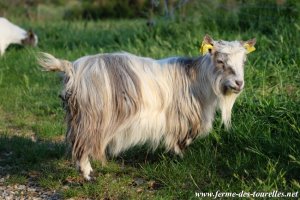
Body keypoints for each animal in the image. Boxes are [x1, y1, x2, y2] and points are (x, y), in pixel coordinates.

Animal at [37, 34, 255, 180]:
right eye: (220, 60)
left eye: (244, 61)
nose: (239, 83)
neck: (196, 78)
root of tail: (72, 68)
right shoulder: (182, 116)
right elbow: (182, 138)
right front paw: (180, 155)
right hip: (91, 118)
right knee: (82, 145)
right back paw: (88, 174)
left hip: (77, 116)